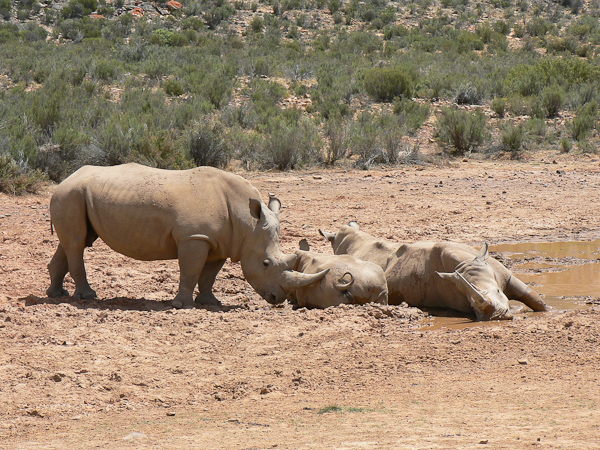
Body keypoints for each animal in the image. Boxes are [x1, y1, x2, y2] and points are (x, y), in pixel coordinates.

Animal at [45, 163, 328, 308]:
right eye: (266, 264)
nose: (278, 299)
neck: (247, 222)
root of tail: (65, 178)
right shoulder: (195, 237)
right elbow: (190, 271)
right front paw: (182, 305)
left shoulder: (220, 241)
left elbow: (209, 275)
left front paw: (211, 302)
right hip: (70, 194)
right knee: (77, 243)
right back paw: (87, 297)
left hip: (76, 195)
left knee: (73, 242)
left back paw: (56, 294)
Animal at [322, 221, 552, 320]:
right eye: (471, 304)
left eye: (498, 291)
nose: (495, 317)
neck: (464, 264)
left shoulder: (504, 274)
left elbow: (533, 297)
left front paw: (547, 311)